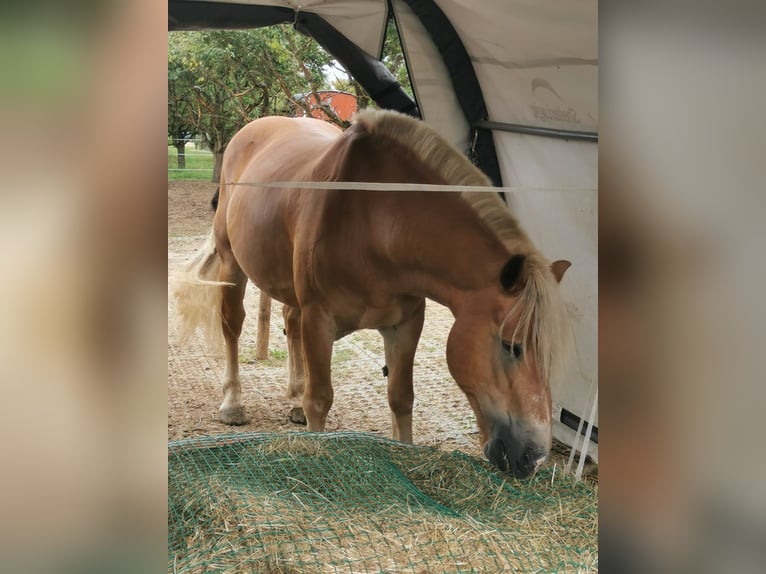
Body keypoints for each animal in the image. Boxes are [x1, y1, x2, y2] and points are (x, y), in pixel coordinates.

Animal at [172, 109, 572, 478]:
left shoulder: (406, 325)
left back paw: (293, 400)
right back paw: (232, 403)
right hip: (232, 265)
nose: (535, 457)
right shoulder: (319, 321)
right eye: (511, 346)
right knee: (232, 327)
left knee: (289, 321)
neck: (376, 220)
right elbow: (321, 399)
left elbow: (401, 397)